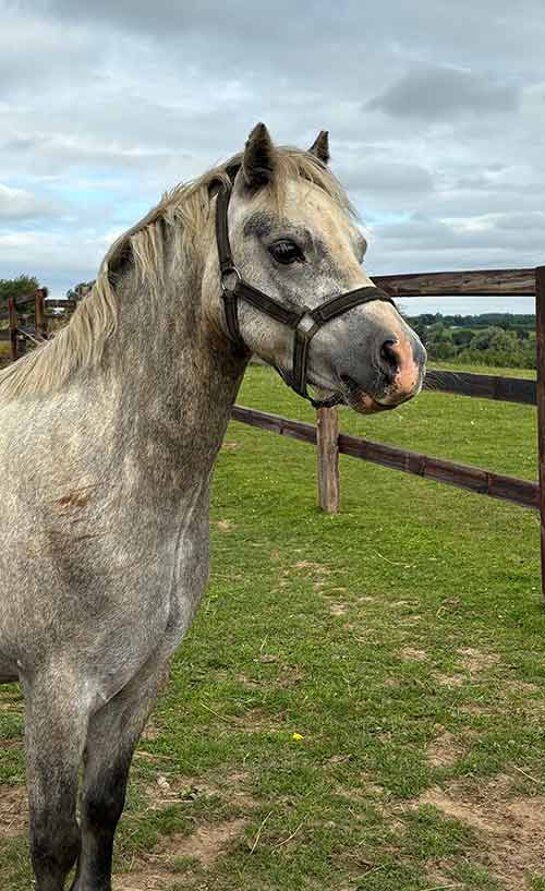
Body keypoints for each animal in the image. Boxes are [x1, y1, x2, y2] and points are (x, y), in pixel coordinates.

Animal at [0, 127, 424, 891]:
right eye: (286, 247)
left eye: (360, 242)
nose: (403, 359)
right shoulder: (54, 695)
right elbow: (53, 844)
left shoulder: (139, 681)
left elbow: (102, 810)